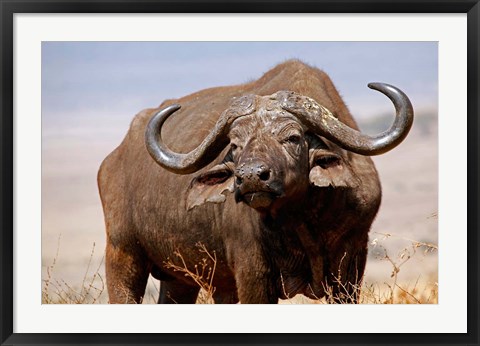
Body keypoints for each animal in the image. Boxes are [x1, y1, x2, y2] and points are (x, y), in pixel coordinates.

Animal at [97, 60, 412, 304]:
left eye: (292, 137)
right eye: (235, 144)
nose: (250, 177)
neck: (302, 221)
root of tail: (112, 160)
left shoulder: (351, 265)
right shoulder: (252, 274)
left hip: (181, 279)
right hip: (122, 256)